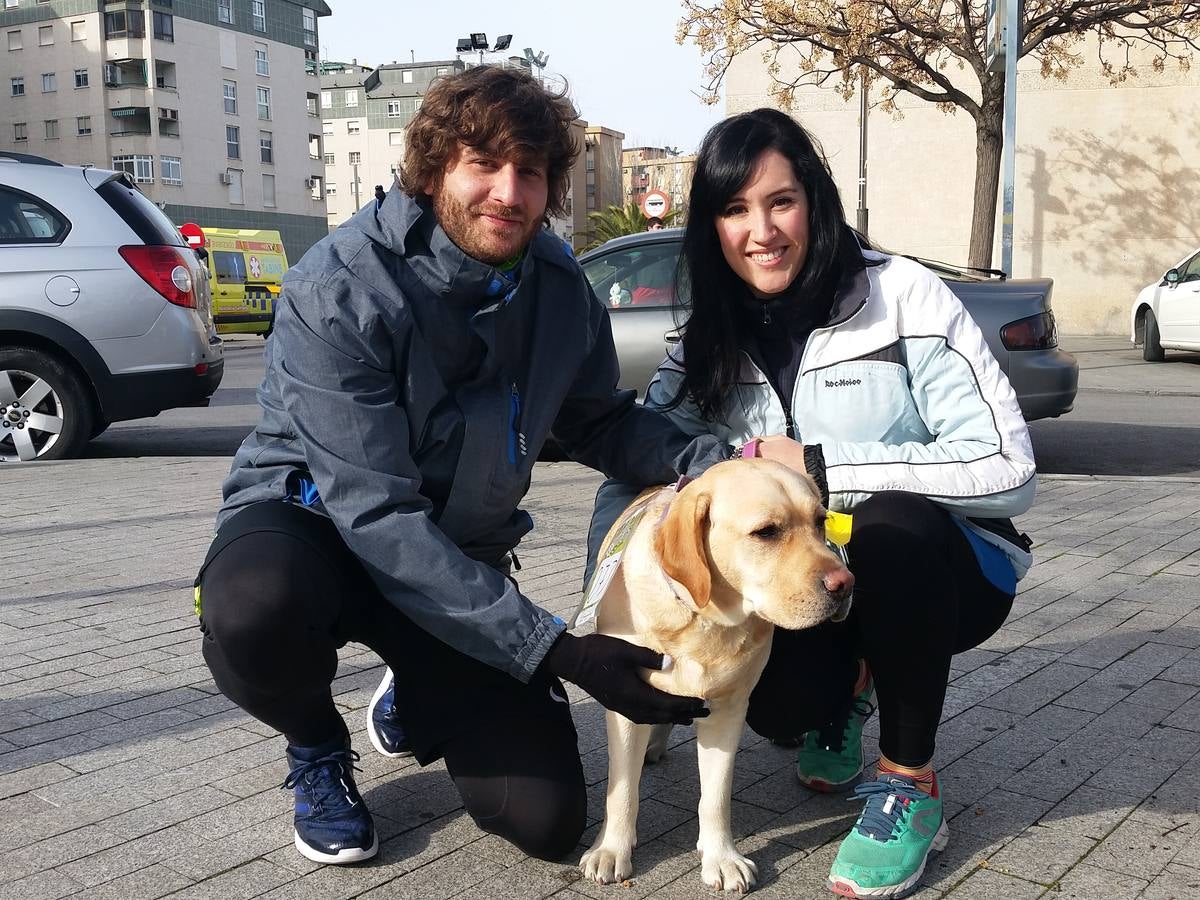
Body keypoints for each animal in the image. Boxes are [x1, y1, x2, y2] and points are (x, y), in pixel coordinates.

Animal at [578, 458, 854, 897]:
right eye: (766, 532)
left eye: (820, 522)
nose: (845, 585)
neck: (703, 618)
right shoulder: (624, 700)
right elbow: (620, 790)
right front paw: (610, 849)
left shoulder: (729, 709)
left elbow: (716, 797)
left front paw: (721, 858)